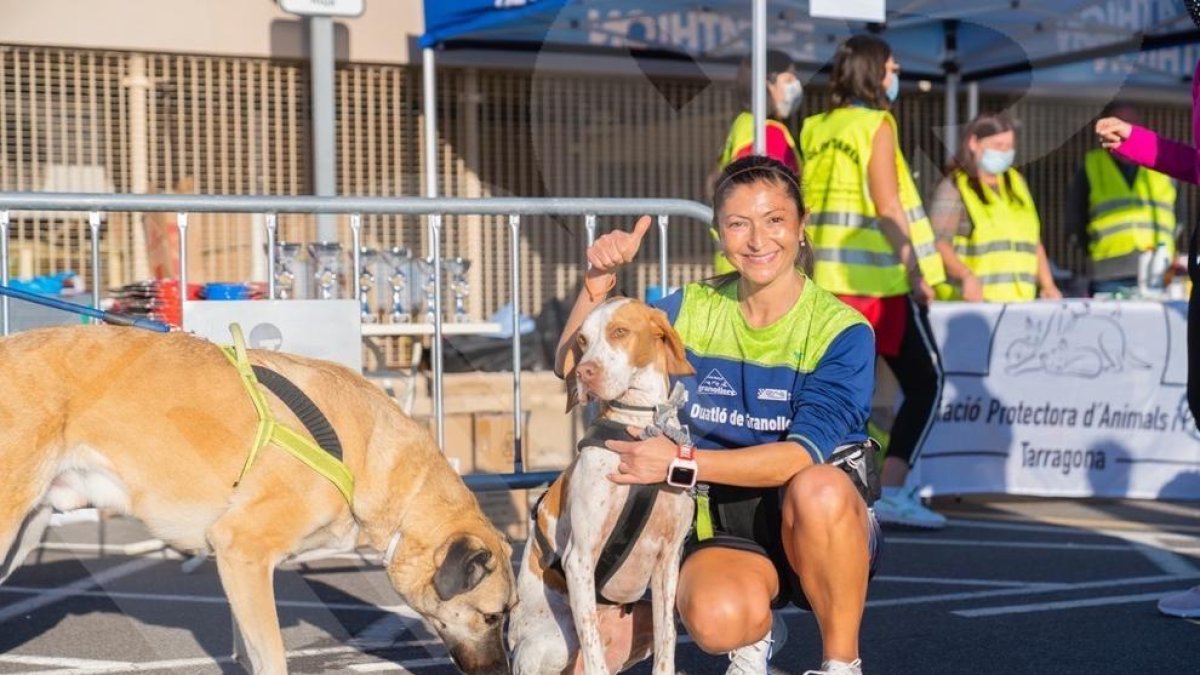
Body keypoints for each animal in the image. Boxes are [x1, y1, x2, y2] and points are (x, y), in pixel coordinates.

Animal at [0, 324, 511, 667]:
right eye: (491, 618)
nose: (502, 673)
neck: (370, 457)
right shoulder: (243, 551)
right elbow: (272, 657)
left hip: (23, 535)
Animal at [511, 299, 700, 672]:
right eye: (582, 340)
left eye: (620, 332)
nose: (584, 372)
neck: (640, 426)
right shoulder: (581, 557)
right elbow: (592, 645)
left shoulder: (669, 559)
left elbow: (668, 641)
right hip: (554, 643)